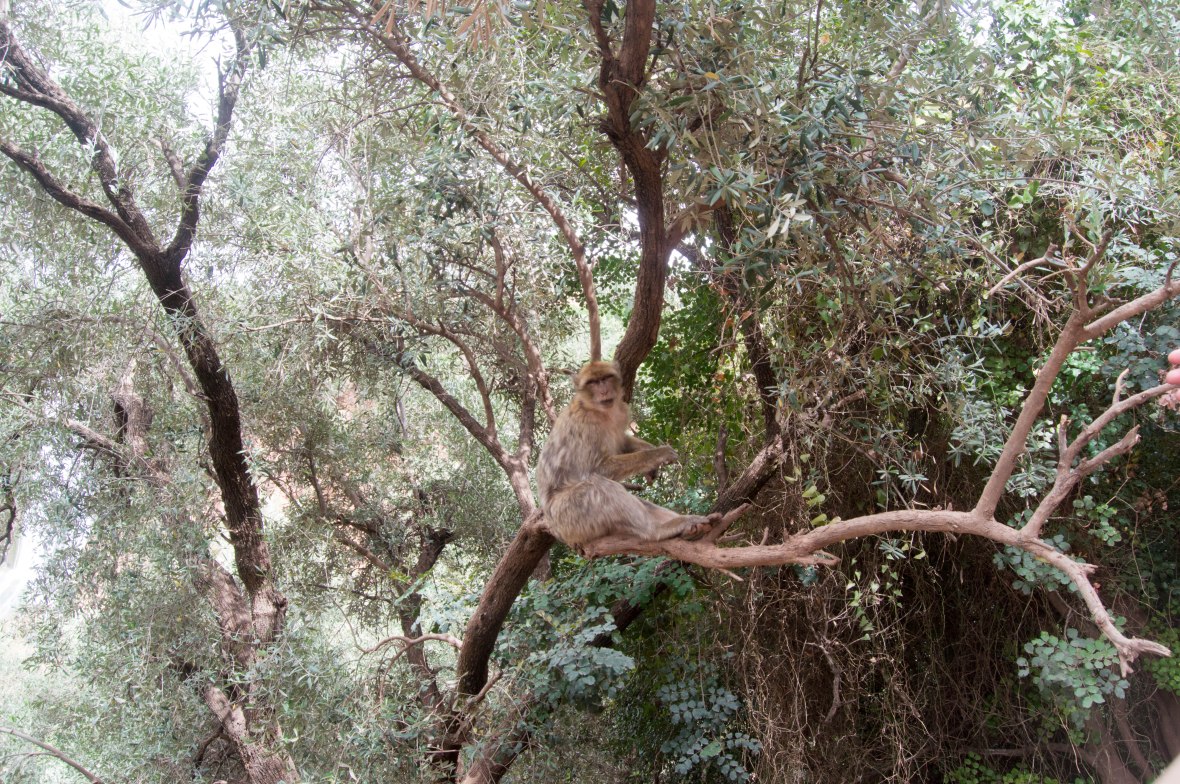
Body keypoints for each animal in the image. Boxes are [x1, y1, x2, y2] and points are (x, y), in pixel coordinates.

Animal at [536, 360, 722, 551]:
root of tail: (559, 531)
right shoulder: (586, 426)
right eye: (592, 383)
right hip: (570, 518)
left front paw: (650, 456)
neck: (598, 410)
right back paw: (657, 530)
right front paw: (658, 453)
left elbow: (622, 442)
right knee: (597, 485)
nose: (604, 391)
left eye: (606, 378)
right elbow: (596, 469)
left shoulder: (621, 412)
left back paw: (691, 526)